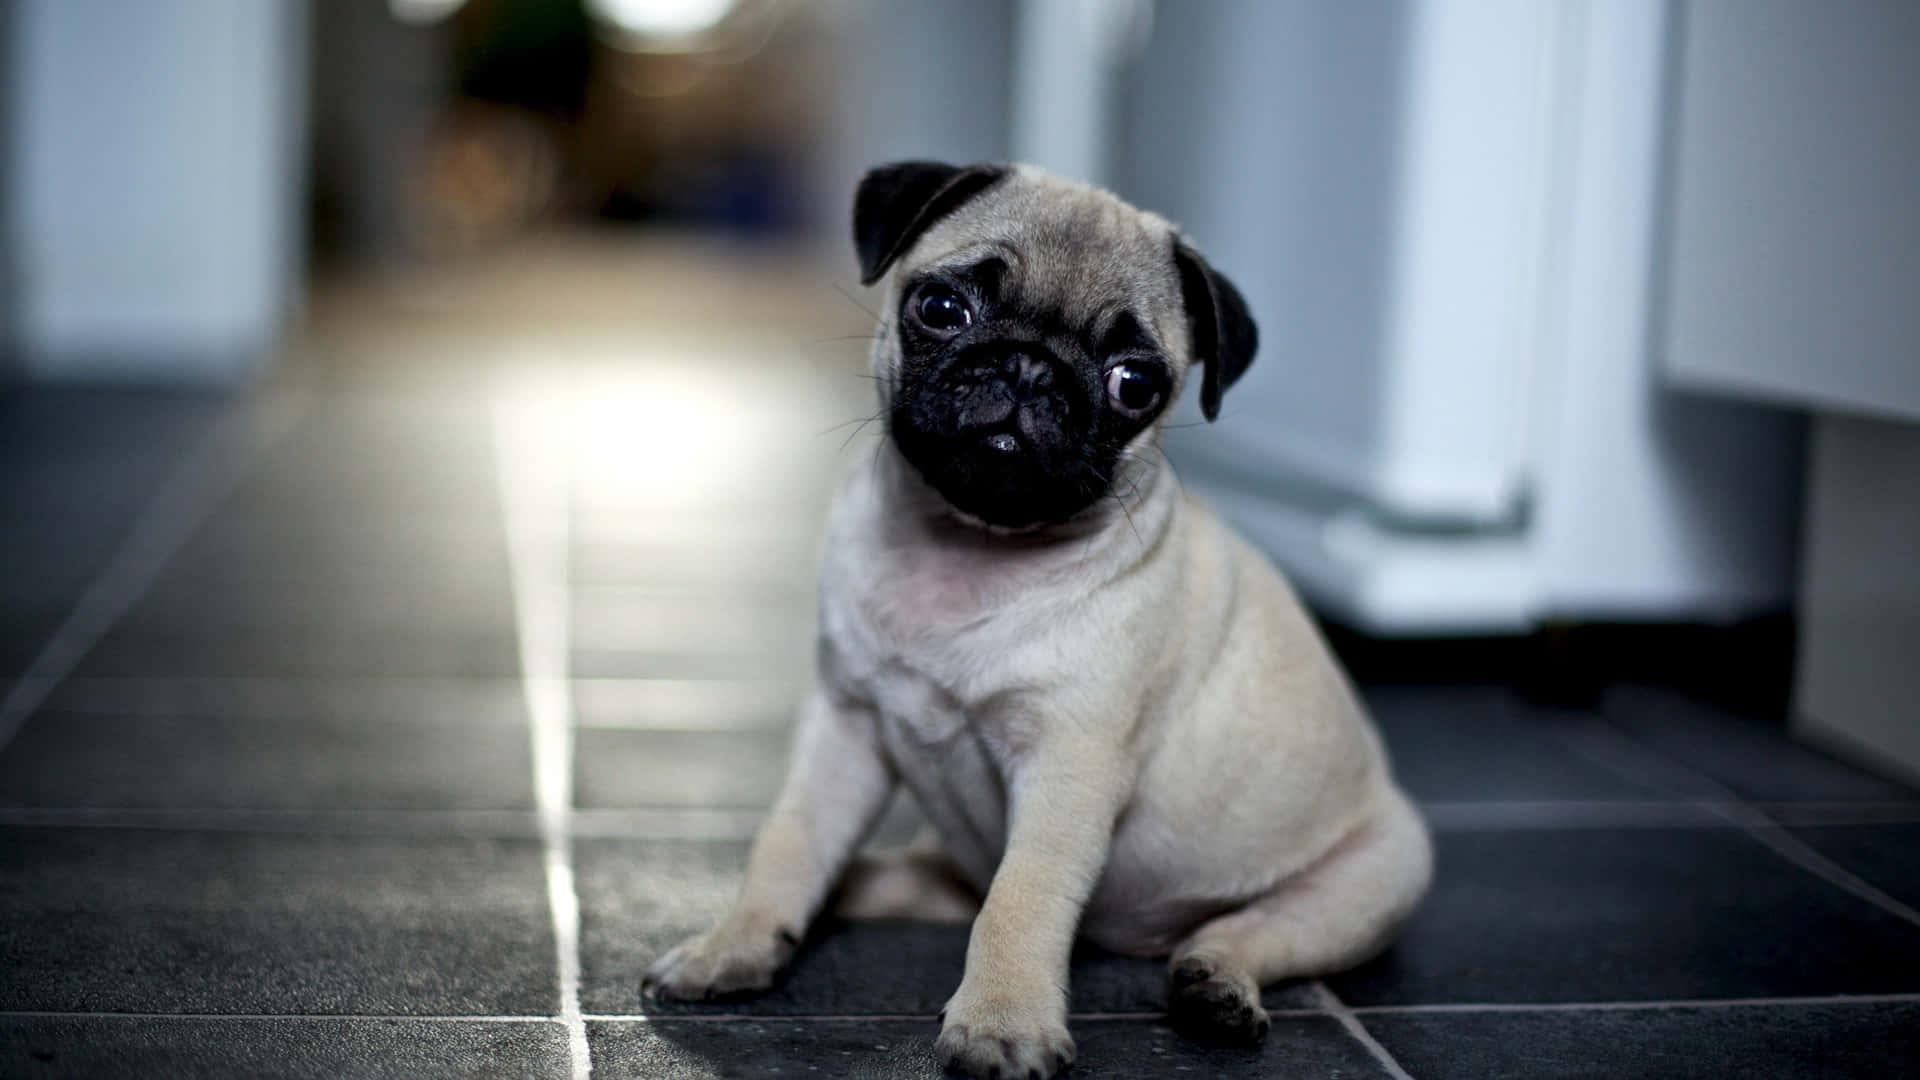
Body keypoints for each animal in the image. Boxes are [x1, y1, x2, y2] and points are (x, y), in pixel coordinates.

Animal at [641, 161, 1428, 1076]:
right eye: (942, 308)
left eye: (1135, 382)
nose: (1028, 368)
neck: (966, 545)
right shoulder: (845, 731)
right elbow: (790, 843)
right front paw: (732, 946)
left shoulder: (1068, 767)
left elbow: (1023, 898)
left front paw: (1002, 1024)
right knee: (912, 878)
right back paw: (841, 892)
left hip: (1371, 885)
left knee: (1248, 930)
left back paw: (1218, 989)